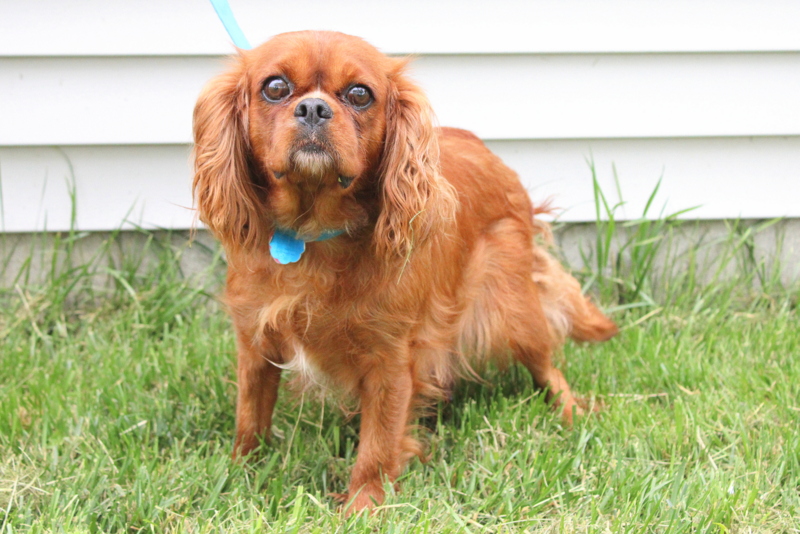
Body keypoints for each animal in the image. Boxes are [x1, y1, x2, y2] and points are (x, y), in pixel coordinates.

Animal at [194, 30, 620, 516]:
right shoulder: (255, 343)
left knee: (546, 364)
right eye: (275, 88)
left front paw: (363, 505)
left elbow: (379, 441)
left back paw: (570, 412)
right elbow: (250, 415)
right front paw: (239, 473)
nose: (314, 108)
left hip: (513, 310)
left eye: (360, 94)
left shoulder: (391, 361)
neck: (314, 234)